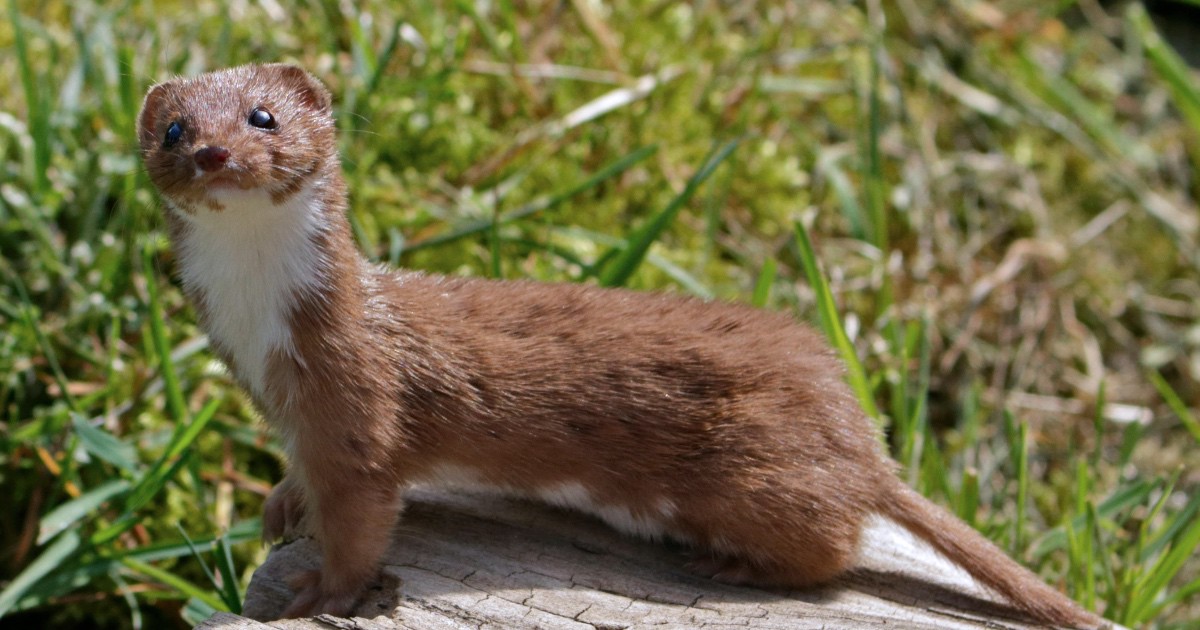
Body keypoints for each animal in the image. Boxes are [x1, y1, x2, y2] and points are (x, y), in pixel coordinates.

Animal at [136, 62, 1099, 624]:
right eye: (176, 130)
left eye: (262, 116)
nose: (214, 152)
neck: (265, 337)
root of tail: (868, 437)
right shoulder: (292, 416)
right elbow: (304, 483)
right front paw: (278, 507)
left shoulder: (358, 413)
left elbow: (362, 526)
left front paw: (316, 590)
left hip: (755, 476)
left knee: (831, 549)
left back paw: (732, 565)